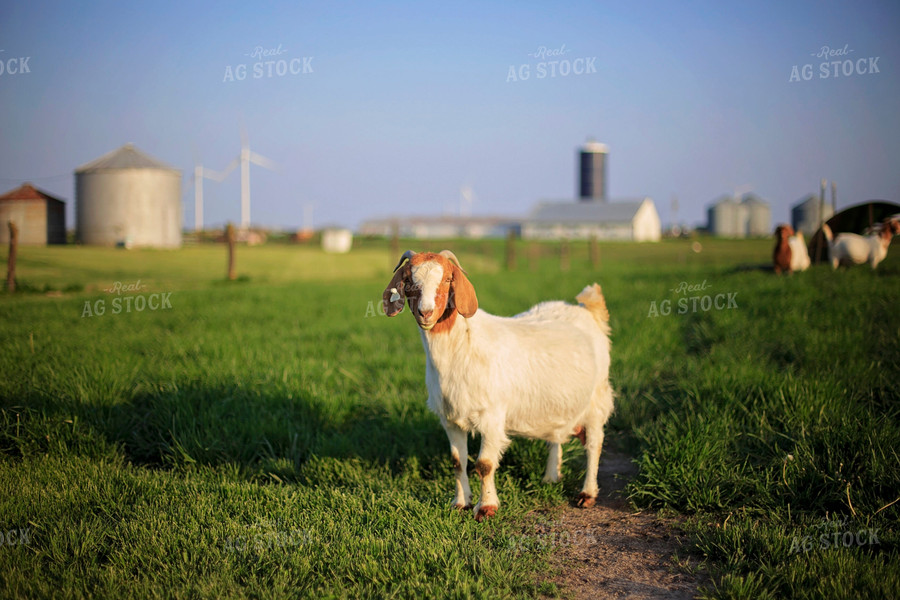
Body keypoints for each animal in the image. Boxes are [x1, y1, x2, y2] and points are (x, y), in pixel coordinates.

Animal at [380, 248, 612, 520]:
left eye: (448, 279)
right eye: (407, 280)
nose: (425, 312)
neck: (462, 346)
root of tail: (589, 311)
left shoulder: (491, 416)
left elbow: (484, 464)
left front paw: (486, 508)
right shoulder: (450, 418)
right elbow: (458, 462)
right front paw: (461, 503)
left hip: (597, 398)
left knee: (594, 445)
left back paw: (587, 493)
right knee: (557, 435)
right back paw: (550, 477)